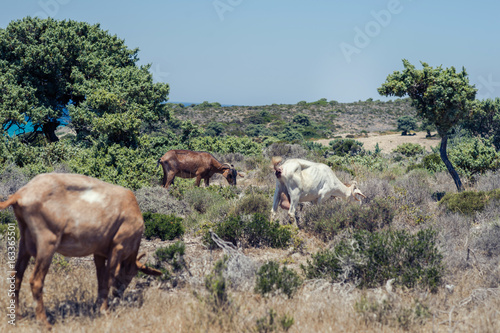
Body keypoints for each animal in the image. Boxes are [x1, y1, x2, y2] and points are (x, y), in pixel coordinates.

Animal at [0, 172, 161, 328]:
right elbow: (109, 277)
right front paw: (105, 311)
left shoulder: (99, 252)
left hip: (24, 242)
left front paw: (98, 307)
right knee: (35, 280)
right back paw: (45, 323)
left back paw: (18, 317)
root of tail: (20, 194)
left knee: (16, 276)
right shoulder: (118, 246)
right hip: (47, 242)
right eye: (131, 274)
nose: (118, 293)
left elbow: (101, 279)